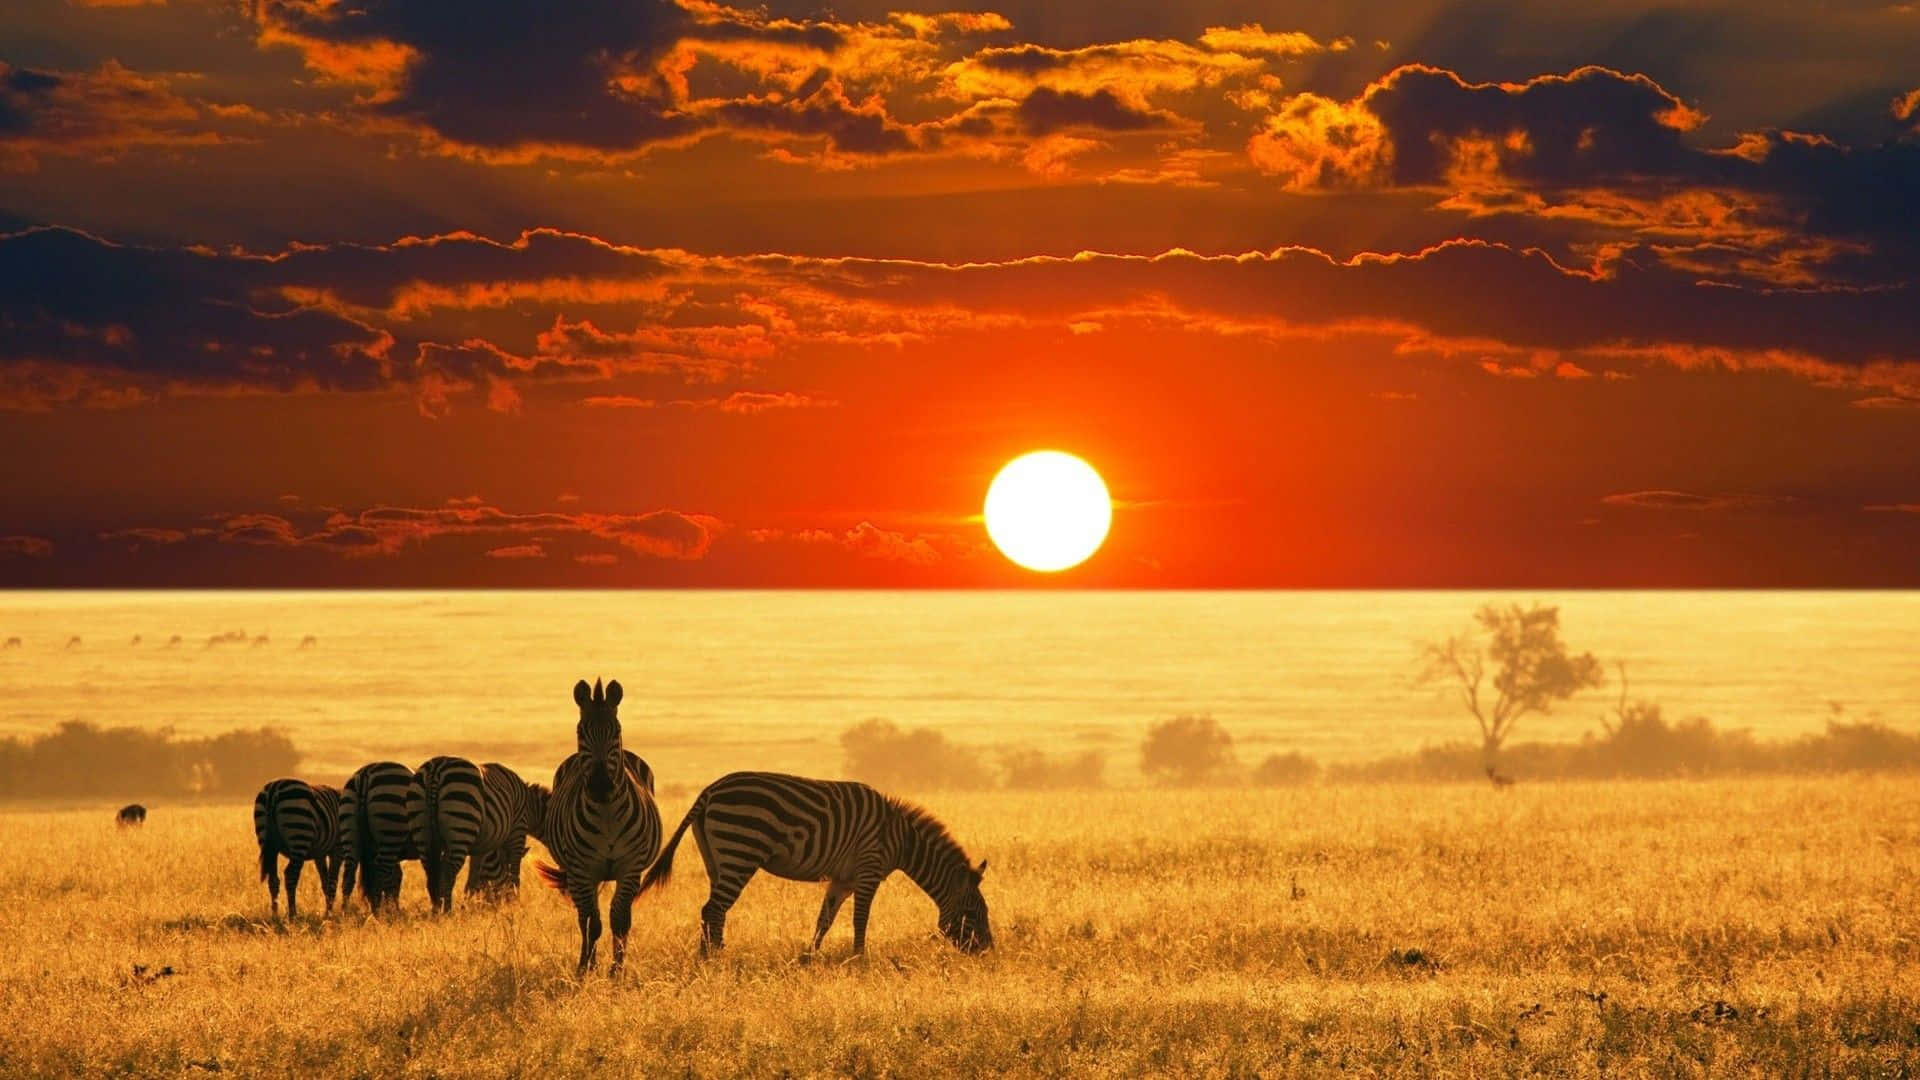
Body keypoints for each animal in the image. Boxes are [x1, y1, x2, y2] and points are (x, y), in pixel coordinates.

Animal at [253, 779, 345, 919]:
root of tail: (274, 789)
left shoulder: (320, 854)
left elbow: (325, 882)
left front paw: (327, 912)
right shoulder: (337, 849)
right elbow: (332, 882)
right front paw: (329, 914)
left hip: (268, 843)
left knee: (273, 880)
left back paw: (275, 916)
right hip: (299, 835)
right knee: (290, 876)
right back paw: (293, 915)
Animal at [343, 761, 415, 913]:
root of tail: (366, 772)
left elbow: (396, 880)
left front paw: (394, 909)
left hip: (351, 834)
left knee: (349, 876)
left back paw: (344, 914)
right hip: (391, 831)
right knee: (379, 876)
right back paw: (380, 915)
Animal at [408, 755, 485, 913]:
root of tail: (435, 769)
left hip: (420, 828)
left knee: (431, 872)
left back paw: (436, 909)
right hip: (461, 821)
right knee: (448, 874)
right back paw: (447, 911)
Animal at [533, 678, 662, 975]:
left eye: (617, 731)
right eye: (581, 731)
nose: (601, 785)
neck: (607, 814)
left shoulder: (630, 867)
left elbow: (620, 920)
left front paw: (617, 971)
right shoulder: (582, 869)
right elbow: (593, 923)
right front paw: (587, 969)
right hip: (578, 874)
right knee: (584, 917)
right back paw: (585, 962)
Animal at [636, 771, 992, 955]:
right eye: (974, 912)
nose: (988, 950)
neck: (901, 838)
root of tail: (709, 791)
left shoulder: (843, 879)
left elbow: (825, 919)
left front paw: (810, 957)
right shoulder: (868, 870)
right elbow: (860, 920)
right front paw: (859, 959)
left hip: (716, 858)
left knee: (711, 909)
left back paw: (709, 955)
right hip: (740, 850)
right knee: (714, 908)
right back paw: (714, 958)